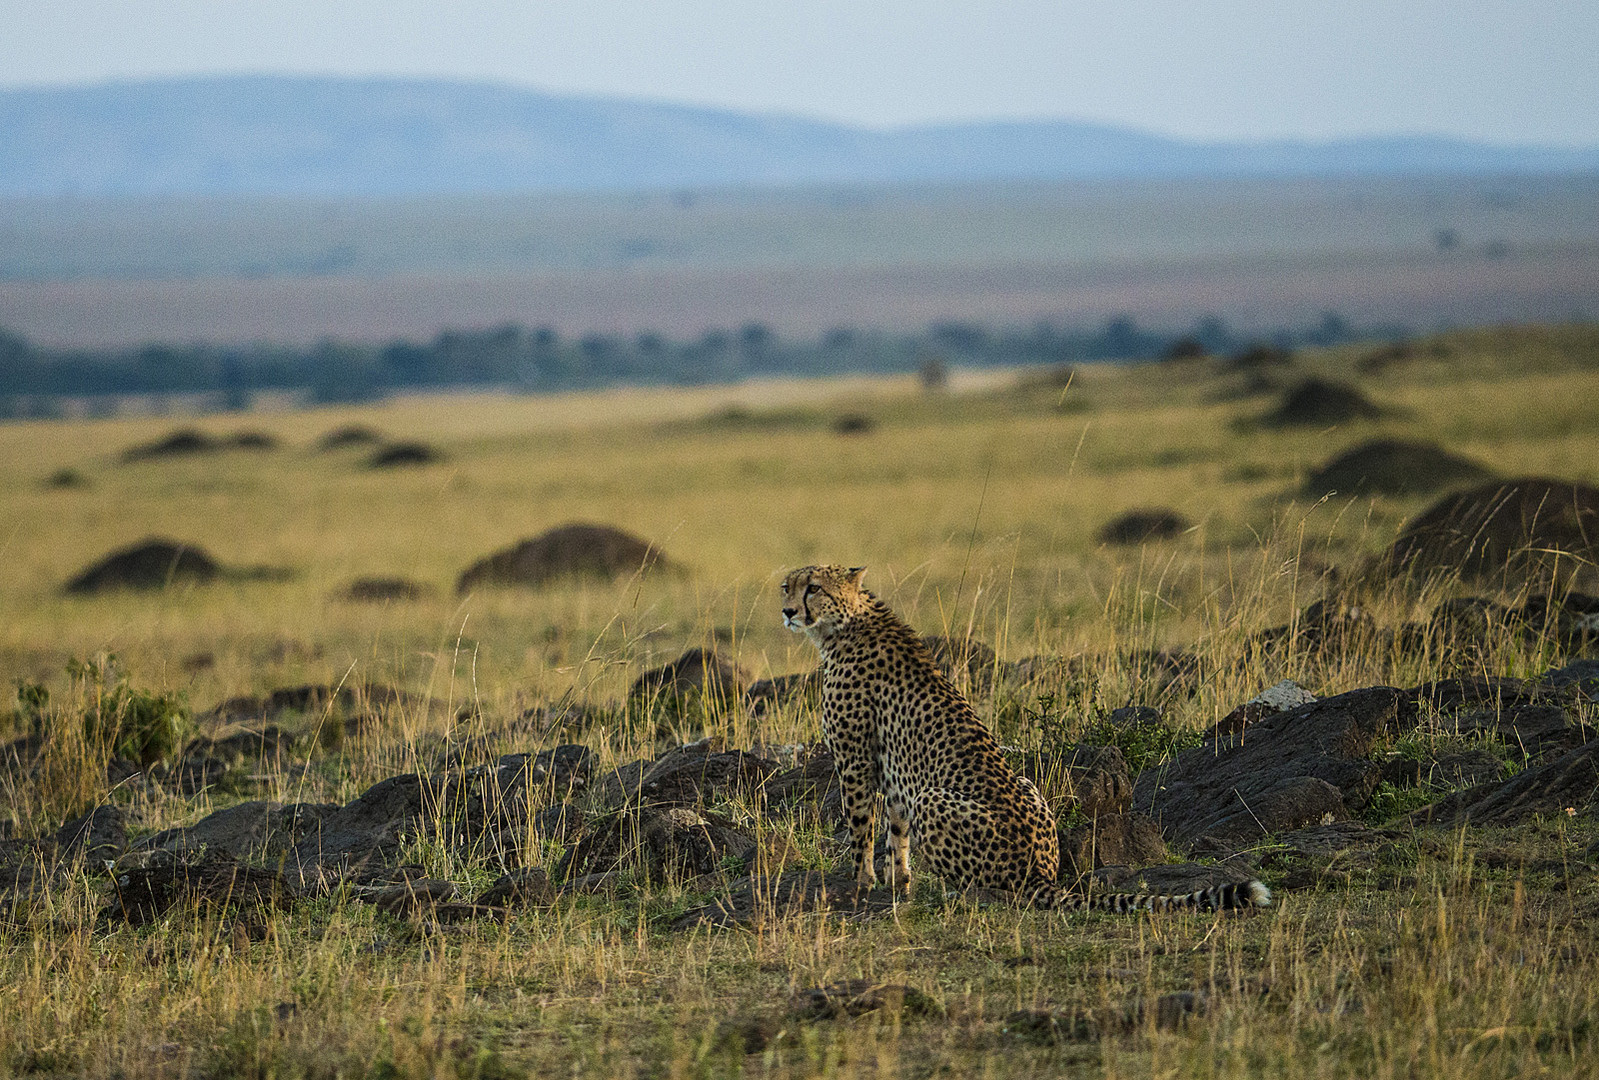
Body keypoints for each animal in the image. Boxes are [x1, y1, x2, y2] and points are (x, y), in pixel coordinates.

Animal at [780, 566, 1266, 915]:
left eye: (813, 588)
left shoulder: (855, 761)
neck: (847, 621)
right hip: (1026, 785)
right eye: (788, 586)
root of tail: (1040, 873)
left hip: (934, 799)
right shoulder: (893, 773)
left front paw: (861, 882)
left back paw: (957, 895)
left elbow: (861, 828)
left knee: (994, 890)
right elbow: (894, 833)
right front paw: (899, 883)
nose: (787, 611)